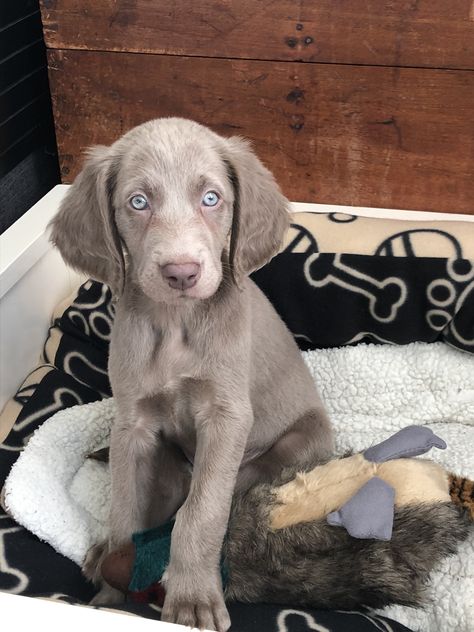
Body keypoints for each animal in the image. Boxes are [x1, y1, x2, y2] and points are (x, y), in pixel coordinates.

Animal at [49, 118, 334, 632]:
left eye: (212, 198)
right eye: (138, 202)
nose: (181, 272)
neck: (176, 325)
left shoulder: (226, 417)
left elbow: (201, 512)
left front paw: (192, 598)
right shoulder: (133, 424)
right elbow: (124, 502)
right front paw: (110, 586)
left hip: (296, 446)